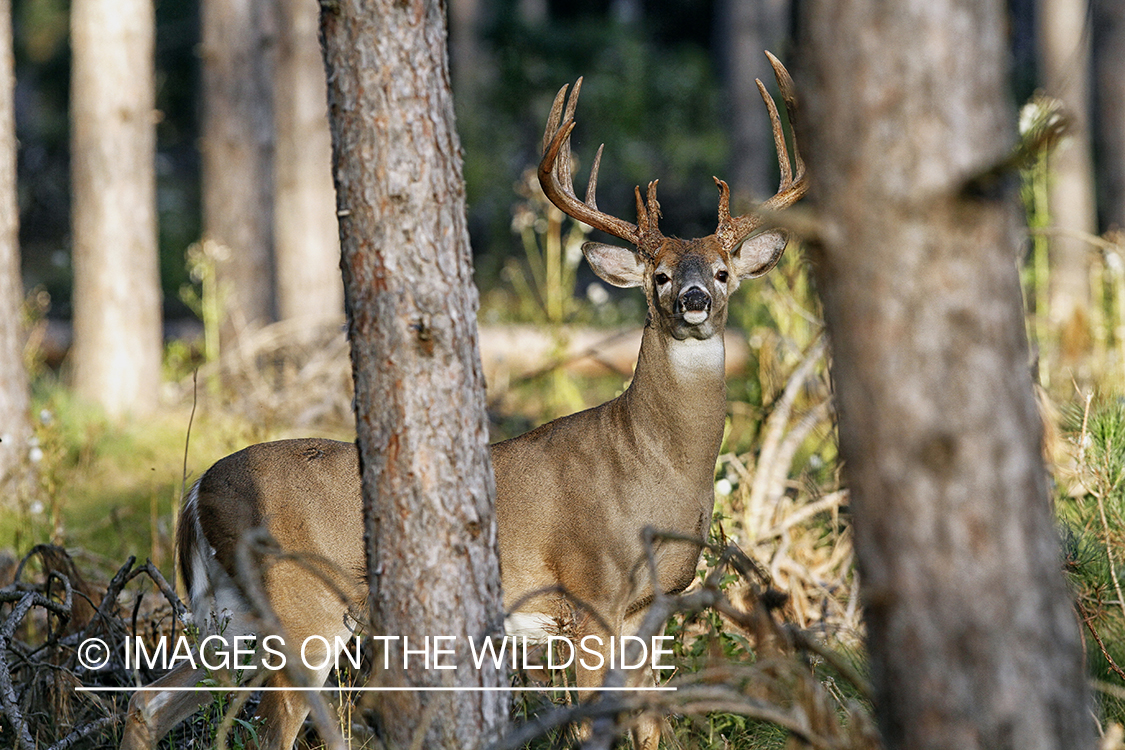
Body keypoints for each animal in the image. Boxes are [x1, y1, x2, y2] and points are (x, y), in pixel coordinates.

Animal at [123, 52, 805, 750]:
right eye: (659, 276)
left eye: (722, 271)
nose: (694, 299)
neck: (649, 464)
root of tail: (197, 491)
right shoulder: (587, 594)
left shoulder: (654, 607)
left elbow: (650, 726)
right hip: (299, 601)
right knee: (276, 719)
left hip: (229, 613)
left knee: (150, 701)